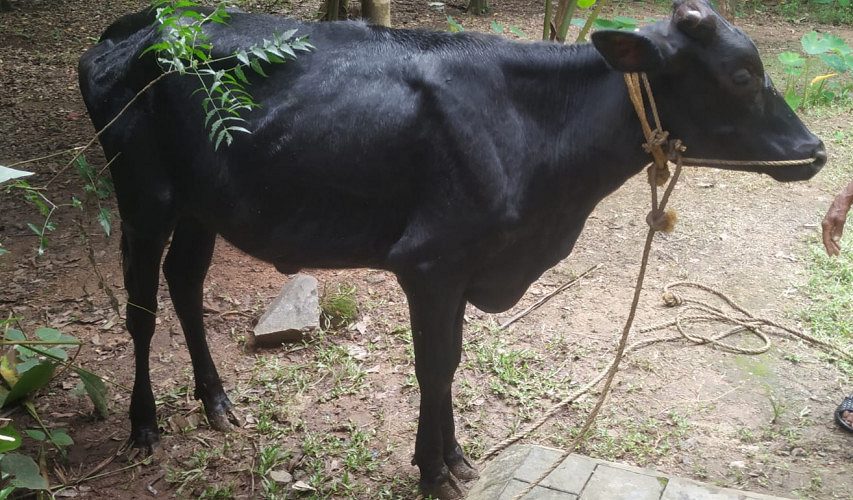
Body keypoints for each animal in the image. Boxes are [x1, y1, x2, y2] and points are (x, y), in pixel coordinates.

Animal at [78, 0, 825, 497]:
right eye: (740, 75)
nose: (815, 151)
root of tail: (127, 29)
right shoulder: (430, 264)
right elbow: (434, 367)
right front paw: (434, 471)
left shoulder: (463, 270)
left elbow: (452, 365)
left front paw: (455, 456)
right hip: (143, 198)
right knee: (142, 306)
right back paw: (144, 425)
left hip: (200, 205)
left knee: (185, 282)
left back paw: (215, 400)